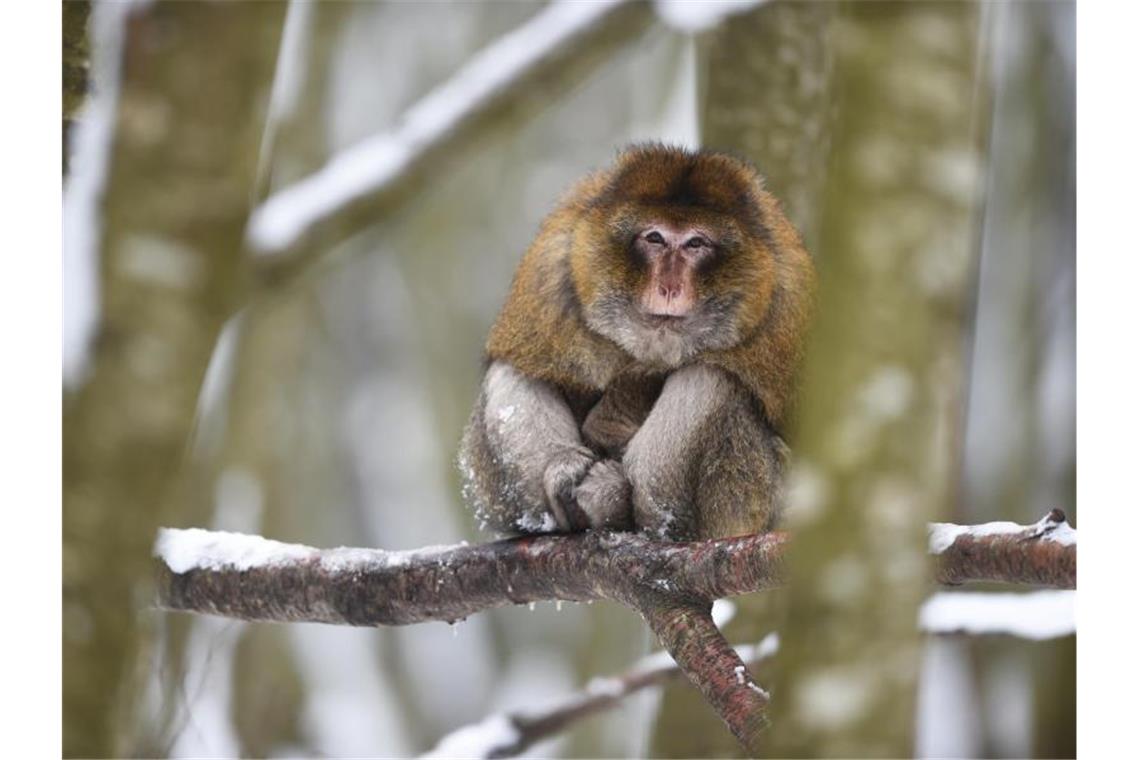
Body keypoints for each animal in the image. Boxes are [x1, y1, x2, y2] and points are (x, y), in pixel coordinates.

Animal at [458, 144, 816, 540]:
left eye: (696, 243)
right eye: (655, 238)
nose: (669, 286)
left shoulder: (789, 303)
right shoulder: (549, 269)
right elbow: (531, 365)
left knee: (711, 381)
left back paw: (635, 510)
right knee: (513, 373)